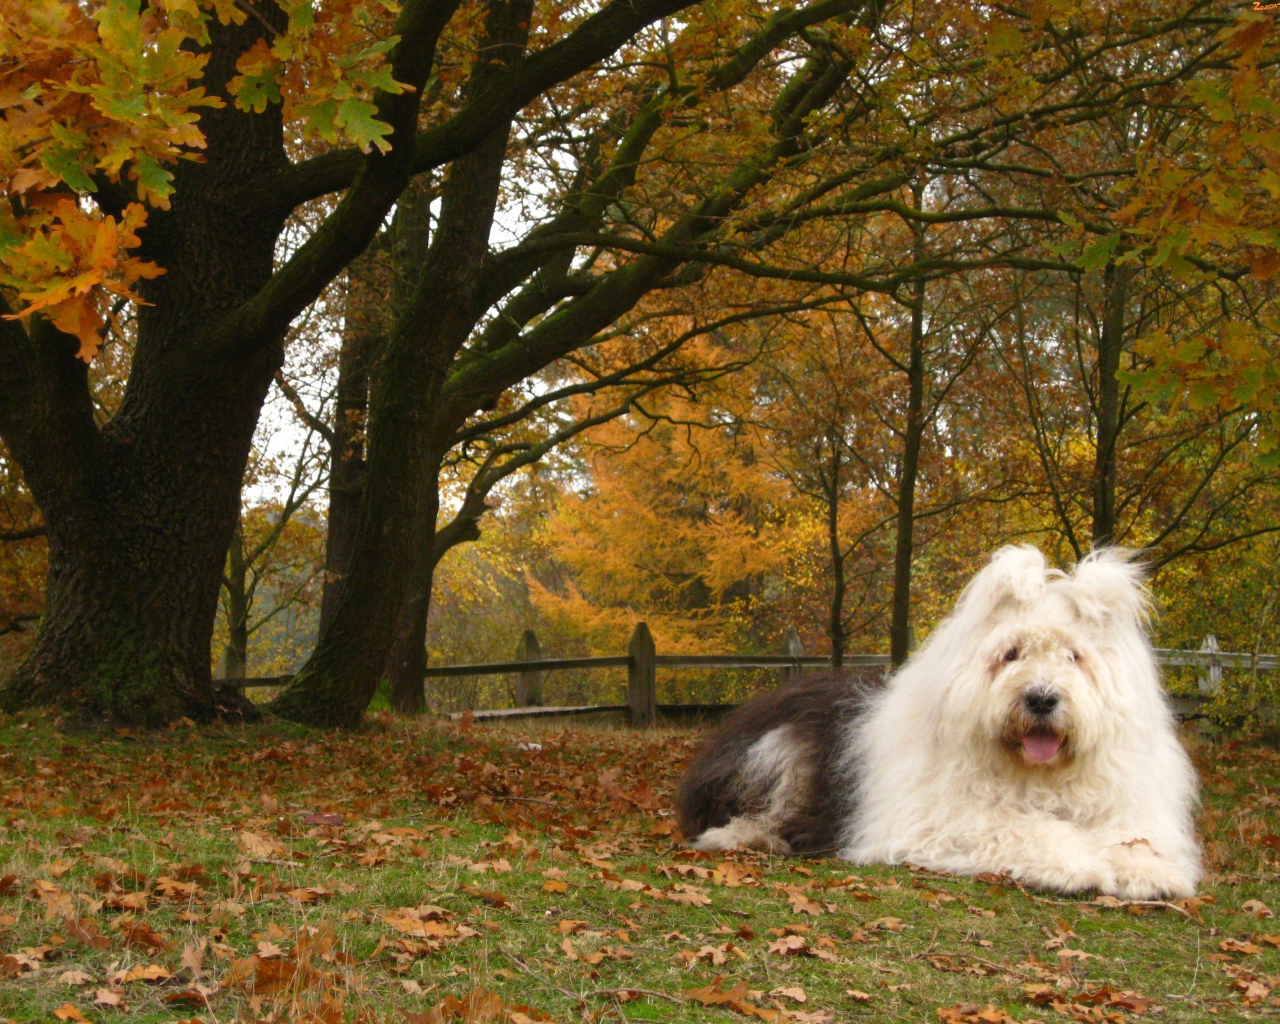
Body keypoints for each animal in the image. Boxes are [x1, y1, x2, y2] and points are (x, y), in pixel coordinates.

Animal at [680, 542, 1198, 896]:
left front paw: (1148, 870)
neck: (1037, 776)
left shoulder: (1122, 805)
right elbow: (1023, 829)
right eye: (1011, 653)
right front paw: (1076, 863)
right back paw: (746, 836)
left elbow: (1133, 838)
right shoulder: (945, 821)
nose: (1041, 698)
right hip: (778, 752)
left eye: (1074, 656)